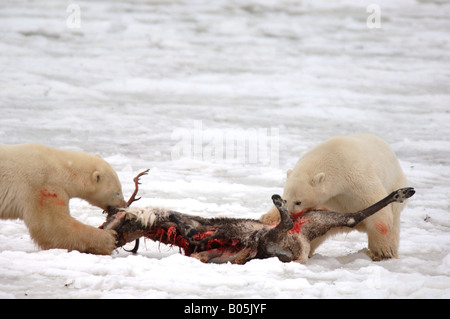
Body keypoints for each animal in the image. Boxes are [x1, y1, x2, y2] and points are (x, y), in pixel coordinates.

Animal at [260, 134, 408, 262]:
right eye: (286, 199)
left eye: (298, 202)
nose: (292, 216)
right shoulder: (331, 199)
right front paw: (268, 218)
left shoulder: (357, 176)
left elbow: (375, 202)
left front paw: (382, 251)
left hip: (396, 184)